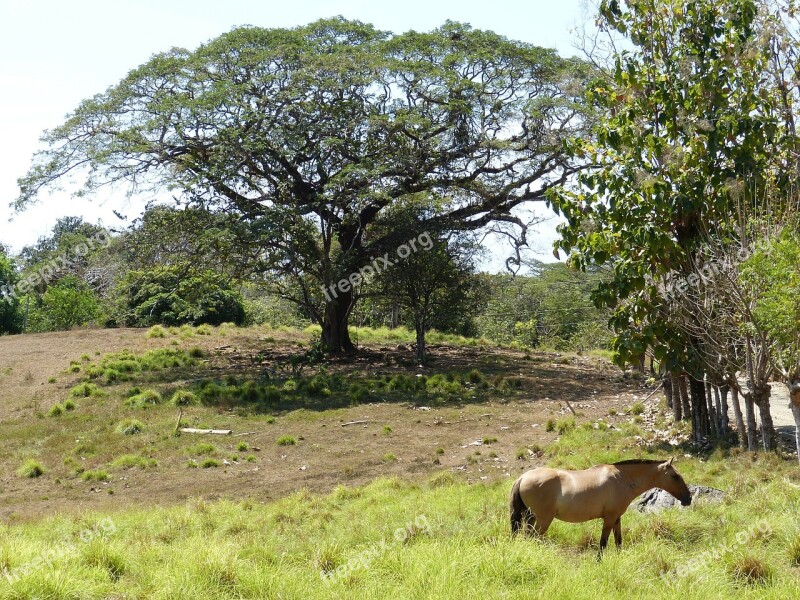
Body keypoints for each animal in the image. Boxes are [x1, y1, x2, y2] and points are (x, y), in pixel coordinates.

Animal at [510, 460, 692, 552]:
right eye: (675, 476)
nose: (688, 498)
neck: (621, 479)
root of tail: (523, 477)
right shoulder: (609, 518)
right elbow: (603, 543)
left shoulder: (617, 517)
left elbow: (618, 541)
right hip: (542, 520)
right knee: (532, 538)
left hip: (531, 518)